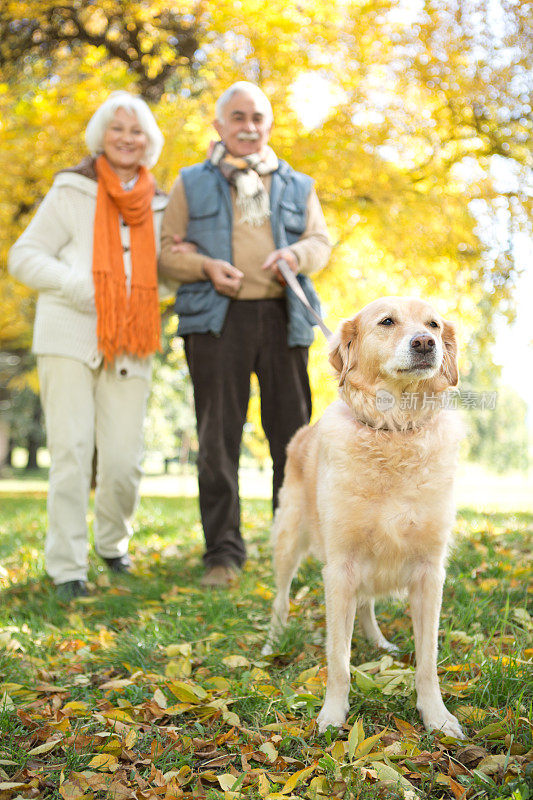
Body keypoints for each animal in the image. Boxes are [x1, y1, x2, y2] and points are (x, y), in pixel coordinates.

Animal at [264, 296, 464, 736]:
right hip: (288, 544)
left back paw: (379, 642)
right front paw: (332, 714)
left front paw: (436, 716)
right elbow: (338, 660)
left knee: (367, 604)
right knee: (281, 601)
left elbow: (428, 660)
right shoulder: (340, 568)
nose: (425, 343)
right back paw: (272, 641)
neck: (393, 430)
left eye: (433, 324)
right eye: (387, 322)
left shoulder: (429, 572)